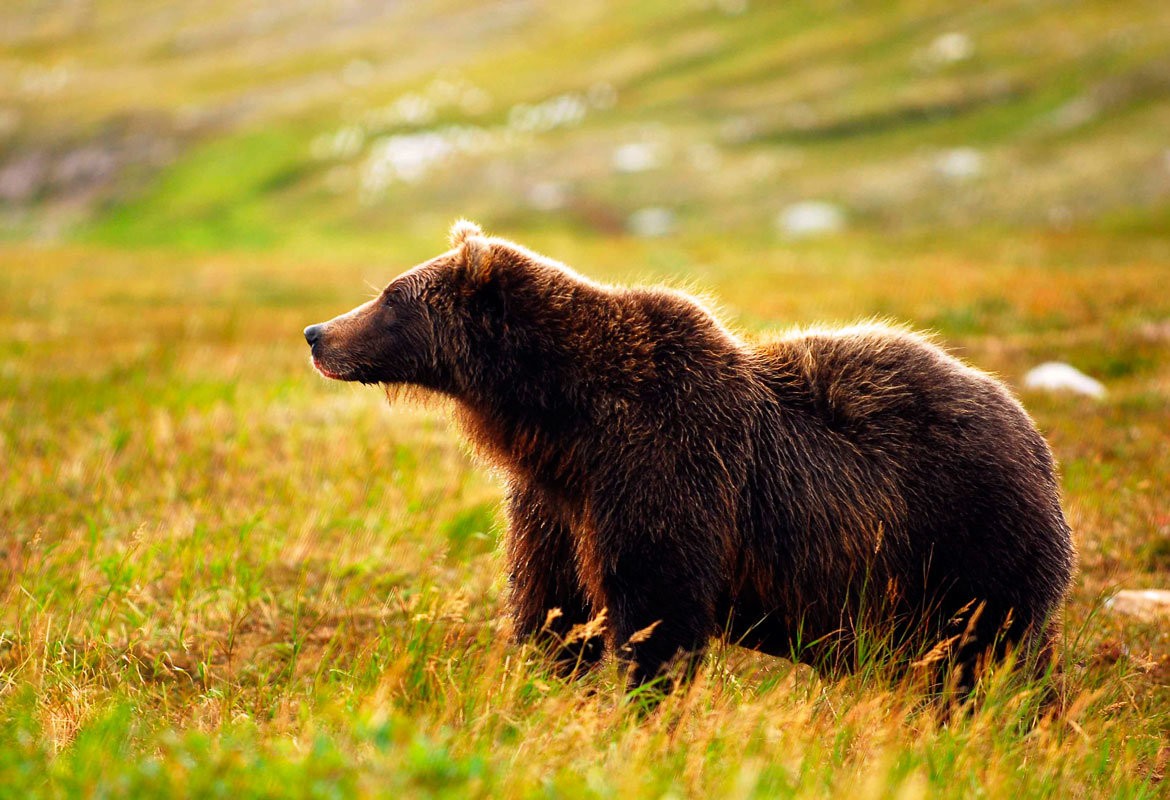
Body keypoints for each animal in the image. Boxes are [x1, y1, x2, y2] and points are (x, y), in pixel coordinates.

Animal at [303, 221, 1076, 691]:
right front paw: (546, 682)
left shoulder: (666, 463)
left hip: (963, 537)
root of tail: (1035, 436)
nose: (317, 333)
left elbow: (658, 604)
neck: (563, 417)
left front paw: (643, 702)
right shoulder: (557, 499)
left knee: (986, 655)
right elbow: (553, 604)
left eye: (390, 297)